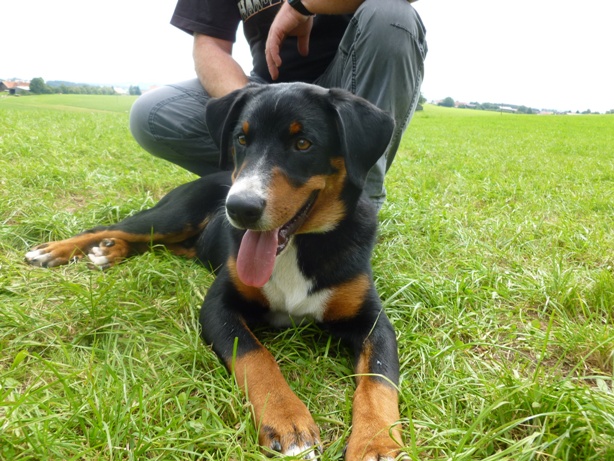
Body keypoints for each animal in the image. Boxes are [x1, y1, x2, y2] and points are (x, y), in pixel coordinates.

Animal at [25, 83, 403, 460]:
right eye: (242, 139)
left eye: (303, 143)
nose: (239, 208)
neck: (297, 249)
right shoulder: (218, 306)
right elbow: (255, 357)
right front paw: (288, 421)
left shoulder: (373, 321)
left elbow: (379, 380)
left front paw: (377, 443)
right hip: (174, 216)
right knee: (111, 227)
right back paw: (54, 251)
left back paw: (109, 251)